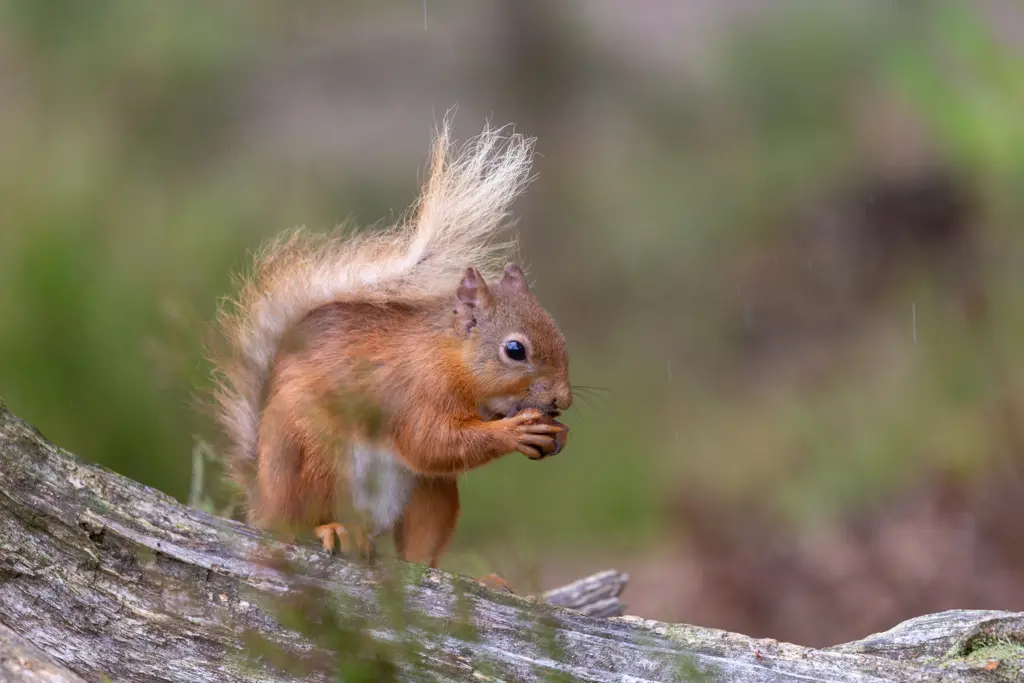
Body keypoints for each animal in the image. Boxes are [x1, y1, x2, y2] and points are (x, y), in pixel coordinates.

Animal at [206, 121, 572, 580]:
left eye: (561, 337)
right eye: (515, 349)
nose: (564, 399)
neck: (449, 358)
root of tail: (263, 500)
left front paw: (556, 434)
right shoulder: (417, 392)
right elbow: (429, 442)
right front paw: (514, 432)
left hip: (429, 494)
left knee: (420, 554)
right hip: (310, 456)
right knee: (300, 521)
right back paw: (334, 530)